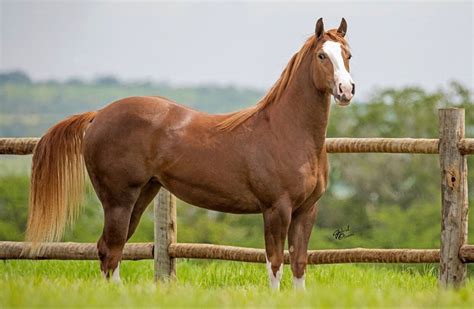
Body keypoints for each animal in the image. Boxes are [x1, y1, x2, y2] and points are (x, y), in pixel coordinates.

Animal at [25, 17, 352, 288]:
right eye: (322, 56)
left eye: (348, 55)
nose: (346, 90)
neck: (286, 131)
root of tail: (98, 115)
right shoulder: (276, 209)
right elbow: (275, 264)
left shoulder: (306, 210)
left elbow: (299, 264)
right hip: (118, 199)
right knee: (110, 250)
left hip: (142, 195)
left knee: (111, 250)